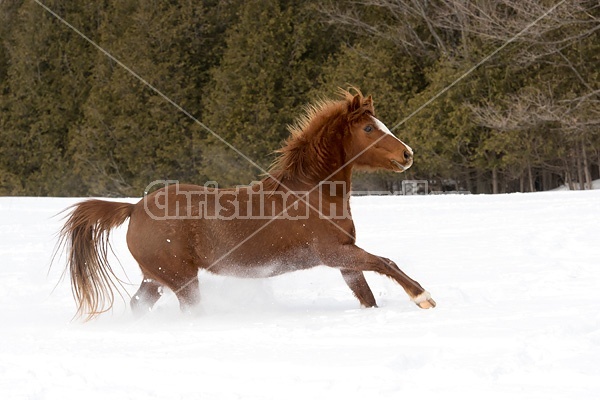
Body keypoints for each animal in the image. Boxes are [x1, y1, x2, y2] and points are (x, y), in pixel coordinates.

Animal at [59, 89, 436, 320]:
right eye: (370, 128)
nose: (407, 154)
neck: (313, 193)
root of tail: (134, 208)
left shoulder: (345, 259)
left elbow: (366, 294)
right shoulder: (333, 252)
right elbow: (385, 262)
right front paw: (423, 297)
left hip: (155, 278)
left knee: (139, 303)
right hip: (181, 278)